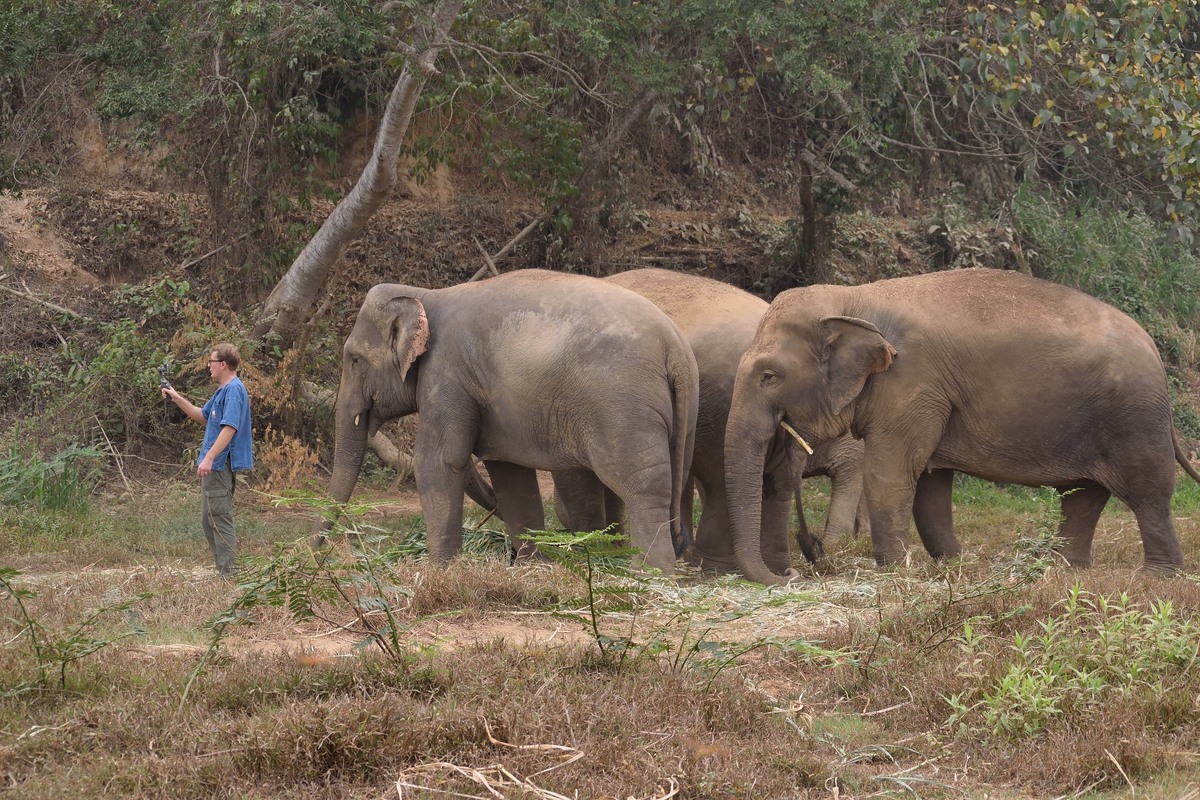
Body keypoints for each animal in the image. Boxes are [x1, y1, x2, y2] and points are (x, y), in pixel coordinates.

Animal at [328, 272, 700, 573]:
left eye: (354, 359)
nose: (319, 552)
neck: (426, 295)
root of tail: (674, 347)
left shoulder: (446, 375)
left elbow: (440, 461)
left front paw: (440, 570)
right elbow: (510, 475)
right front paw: (533, 567)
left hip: (623, 409)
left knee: (641, 483)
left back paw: (649, 571)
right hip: (684, 413)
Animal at [720, 266, 1200, 585]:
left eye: (769, 376)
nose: (797, 572)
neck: (854, 299)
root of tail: (1154, 350)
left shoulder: (913, 383)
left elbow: (892, 471)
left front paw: (892, 568)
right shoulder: (931, 396)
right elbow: (931, 483)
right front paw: (952, 565)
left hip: (1133, 419)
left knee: (1148, 492)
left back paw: (1156, 578)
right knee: (1082, 495)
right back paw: (1062, 570)